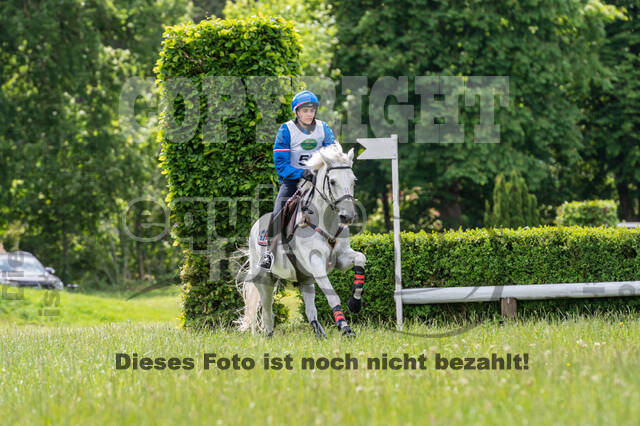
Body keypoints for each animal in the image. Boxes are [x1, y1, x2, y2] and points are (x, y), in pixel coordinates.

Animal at [236, 142, 367, 338]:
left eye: (353, 180)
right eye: (332, 181)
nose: (348, 216)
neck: (326, 221)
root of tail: (255, 226)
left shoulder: (341, 258)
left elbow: (360, 258)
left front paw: (355, 303)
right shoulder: (316, 263)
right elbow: (333, 296)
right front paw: (345, 328)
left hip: (305, 279)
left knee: (310, 310)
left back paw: (319, 334)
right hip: (265, 280)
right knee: (267, 311)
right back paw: (269, 336)